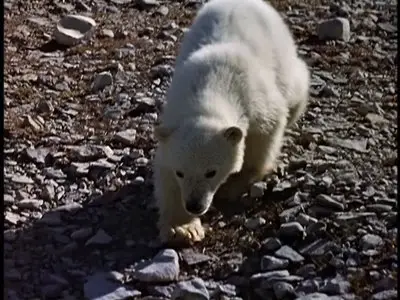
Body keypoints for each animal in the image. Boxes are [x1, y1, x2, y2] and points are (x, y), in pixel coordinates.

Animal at [153, 0, 310, 244]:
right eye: (181, 172)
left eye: (211, 172)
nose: (194, 205)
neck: (208, 85)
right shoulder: (173, 114)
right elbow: (165, 172)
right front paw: (182, 228)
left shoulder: (254, 97)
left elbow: (267, 130)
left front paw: (236, 183)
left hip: (282, 54)